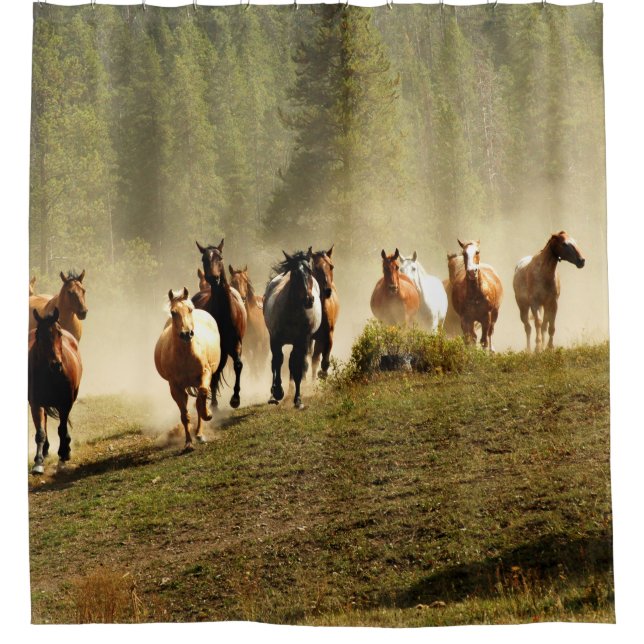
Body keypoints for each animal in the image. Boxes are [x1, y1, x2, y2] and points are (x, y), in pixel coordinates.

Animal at [28, 308, 83, 474]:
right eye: (39, 335)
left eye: (59, 333)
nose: (56, 364)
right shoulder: (35, 403)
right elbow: (40, 431)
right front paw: (38, 462)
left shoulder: (65, 402)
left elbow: (62, 429)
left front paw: (64, 454)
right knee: (44, 422)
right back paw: (45, 451)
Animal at [154, 288, 222, 449]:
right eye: (173, 312)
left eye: (189, 309)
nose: (186, 334)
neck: (186, 354)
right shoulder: (175, 387)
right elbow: (185, 415)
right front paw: (188, 444)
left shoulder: (205, 374)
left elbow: (202, 395)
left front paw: (207, 414)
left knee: (199, 400)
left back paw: (200, 433)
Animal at [194, 240, 247, 409]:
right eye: (204, 259)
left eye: (220, 257)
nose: (214, 278)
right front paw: (213, 403)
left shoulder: (236, 343)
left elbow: (238, 365)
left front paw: (235, 399)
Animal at [263, 249, 322, 409]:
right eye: (295, 273)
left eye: (310, 271)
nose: (309, 300)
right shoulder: (275, 340)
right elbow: (277, 362)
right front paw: (277, 392)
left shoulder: (301, 341)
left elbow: (297, 366)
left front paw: (298, 400)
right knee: (276, 363)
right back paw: (274, 394)